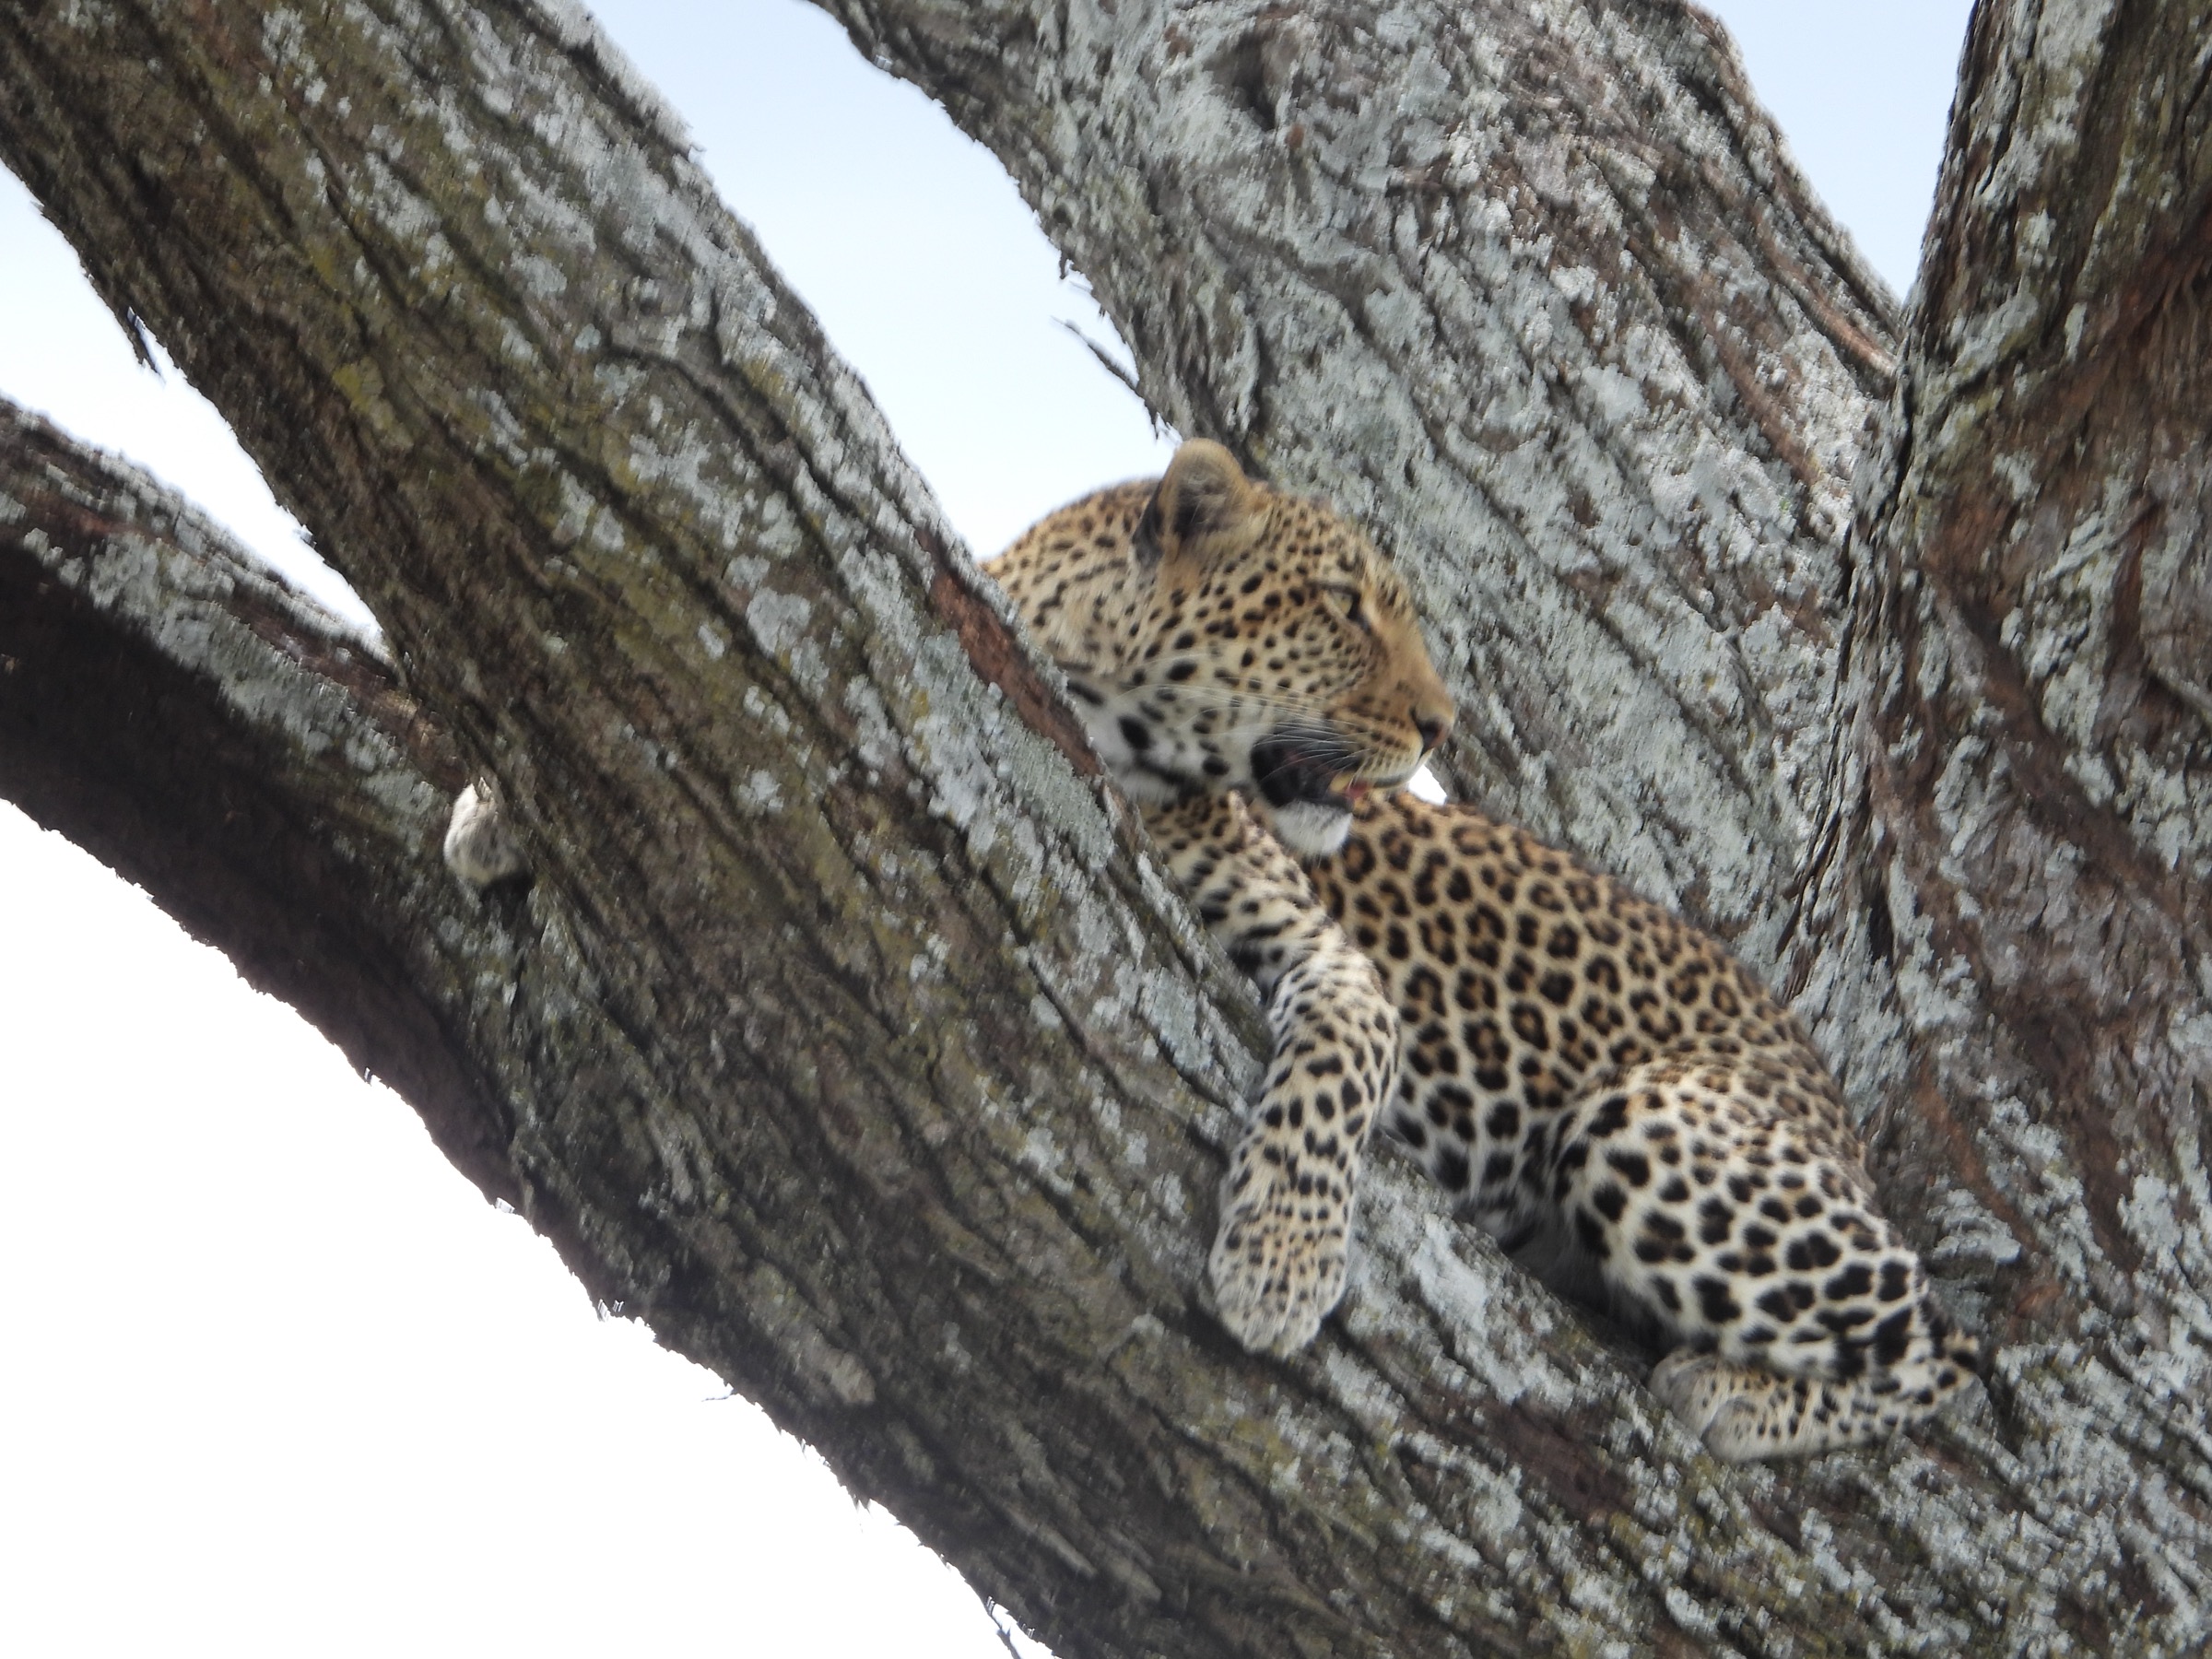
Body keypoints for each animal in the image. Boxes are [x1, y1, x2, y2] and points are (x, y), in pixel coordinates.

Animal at [989, 438, 1980, 1461]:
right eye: (1341, 604)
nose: (1441, 726)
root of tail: (1837, 1112)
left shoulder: (1339, 964)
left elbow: (1332, 1082)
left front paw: (1279, 1265)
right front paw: (1281, 1262)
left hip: (1645, 1121)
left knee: (1950, 1350)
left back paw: (1734, 1395)